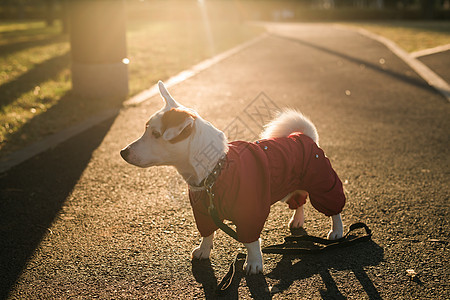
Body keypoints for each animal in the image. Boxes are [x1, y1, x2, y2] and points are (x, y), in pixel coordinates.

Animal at [119, 82, 344, 274]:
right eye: (146, 129)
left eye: (156, 134)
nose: (123, 152)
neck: (215, 172)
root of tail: (303, 136)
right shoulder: (203, 212)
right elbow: (207, 233)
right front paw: (203, 250)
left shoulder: (250, 212)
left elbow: (252, 242)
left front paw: (254, 263)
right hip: (289, 187)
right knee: (299, 201)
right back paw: (297, 220)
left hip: (323, 183)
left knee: (334, 209)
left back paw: (337, 231)